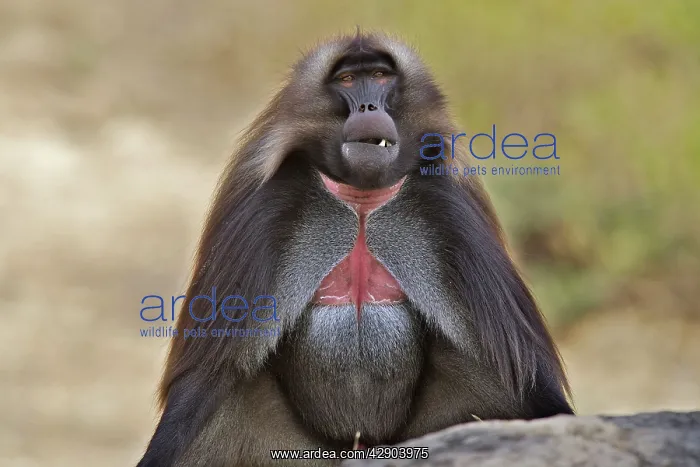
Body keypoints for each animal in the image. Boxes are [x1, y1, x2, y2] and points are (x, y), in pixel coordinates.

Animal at [137, 32, 574, 467]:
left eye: (380, 76)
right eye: (347, 80)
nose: (368, 107)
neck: (363, 202)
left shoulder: (449, 215)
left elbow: (525, 377)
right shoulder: (265, 213)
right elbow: (207, 380)